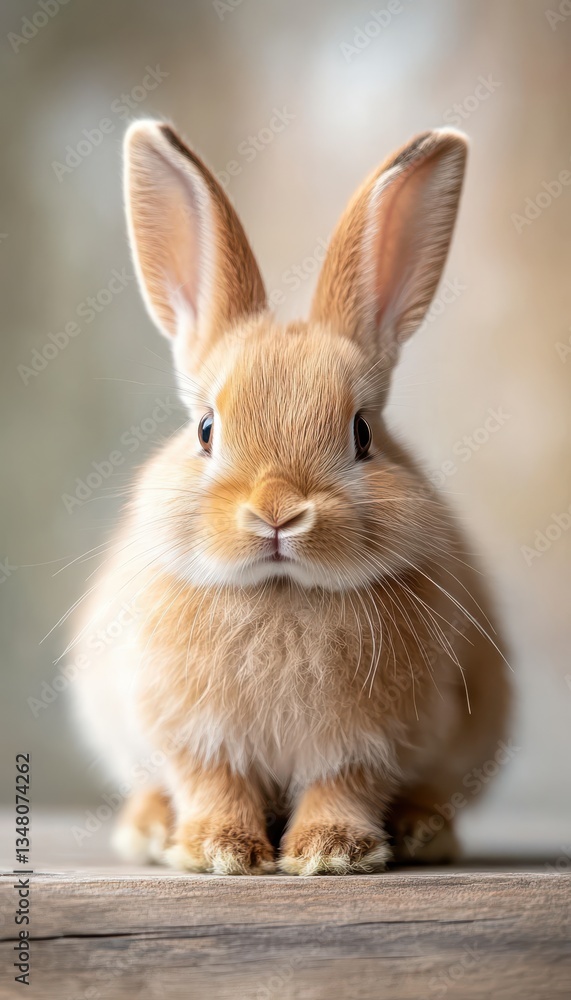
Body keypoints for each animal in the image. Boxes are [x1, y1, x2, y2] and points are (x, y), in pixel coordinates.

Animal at [71, 119, 510, 876]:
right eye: (205, 430)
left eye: (363, 433)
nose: (277, 512)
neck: (281, 592)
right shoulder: (191, 738)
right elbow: (211, 783)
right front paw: (219, 852)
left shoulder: (369, 744)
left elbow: (344, 787)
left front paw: (330, 853)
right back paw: (150, 829)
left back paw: (425, 831)